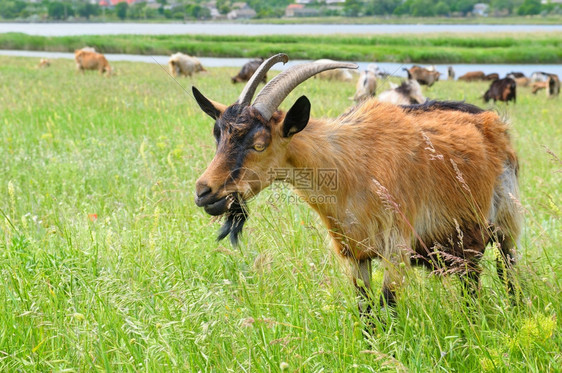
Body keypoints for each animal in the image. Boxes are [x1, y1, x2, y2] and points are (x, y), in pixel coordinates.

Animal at [192, 54, 520, 316]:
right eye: (218, 135)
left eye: (260, 145)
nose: (204, 192)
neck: (351, 165)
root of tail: (492, 120)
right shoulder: (354, 253)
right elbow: (366, 310)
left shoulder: (396, 248)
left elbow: (387, 307)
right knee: (471, 282)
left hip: (506, 221)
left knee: (508, 271)